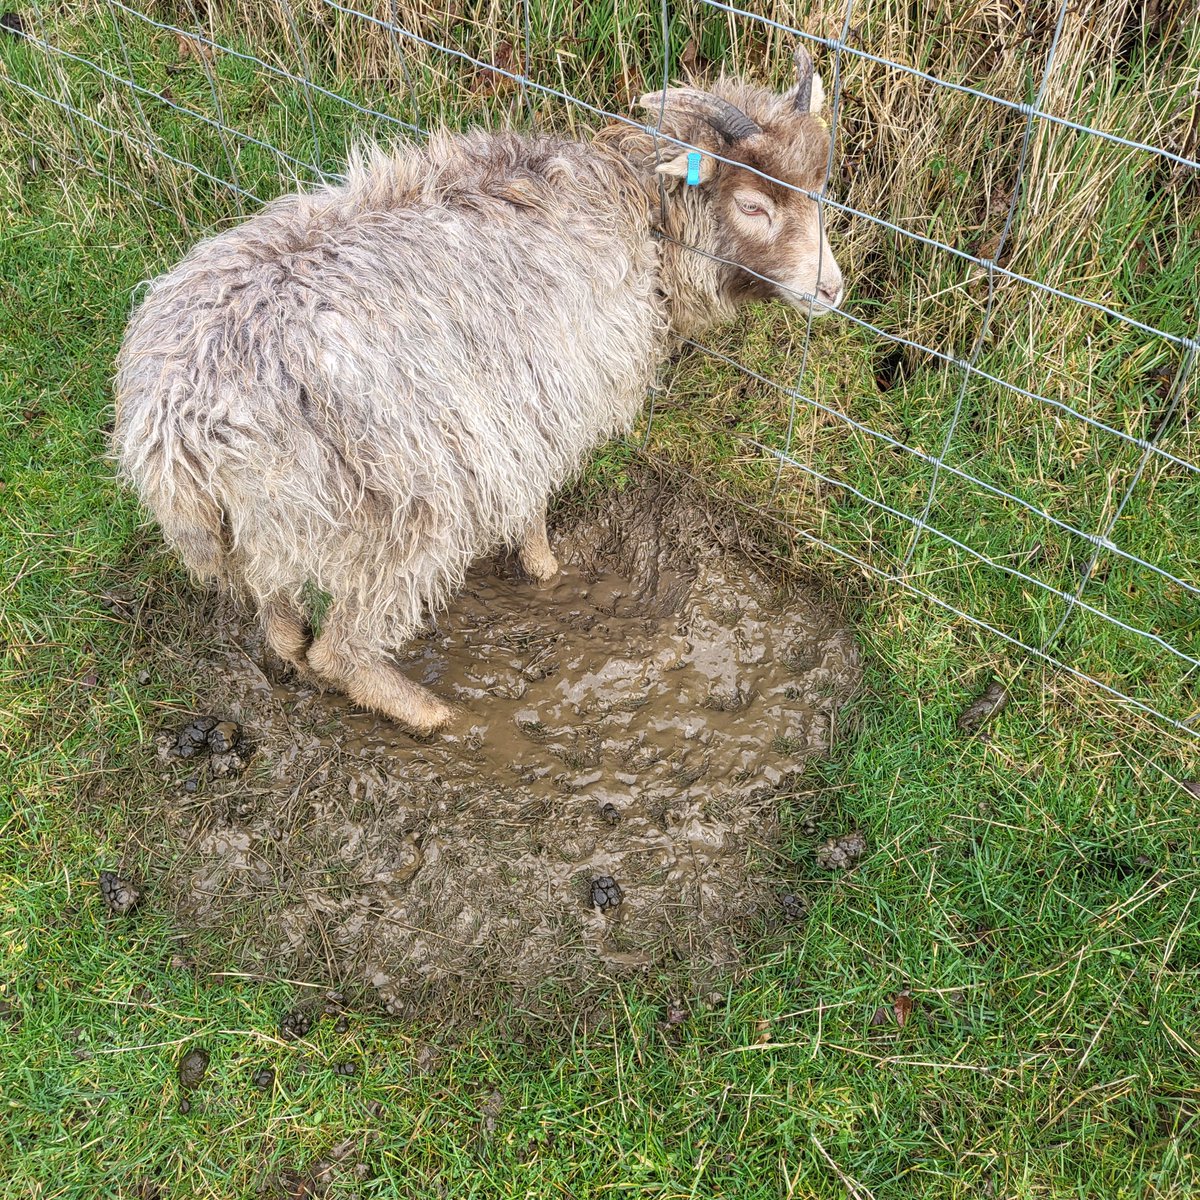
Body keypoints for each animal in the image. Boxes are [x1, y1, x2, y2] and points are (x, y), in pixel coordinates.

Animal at [113, 48, 844, 735]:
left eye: (819, 195)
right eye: (752, 205)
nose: (832, 290)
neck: (642, 219)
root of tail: (176, 427)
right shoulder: (543, 400)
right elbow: (533, 497)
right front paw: (546, 569)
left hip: (266, 529)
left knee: (281, 621)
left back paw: (294, 659)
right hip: (392, 514)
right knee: (342, 648)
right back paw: (427, 714)